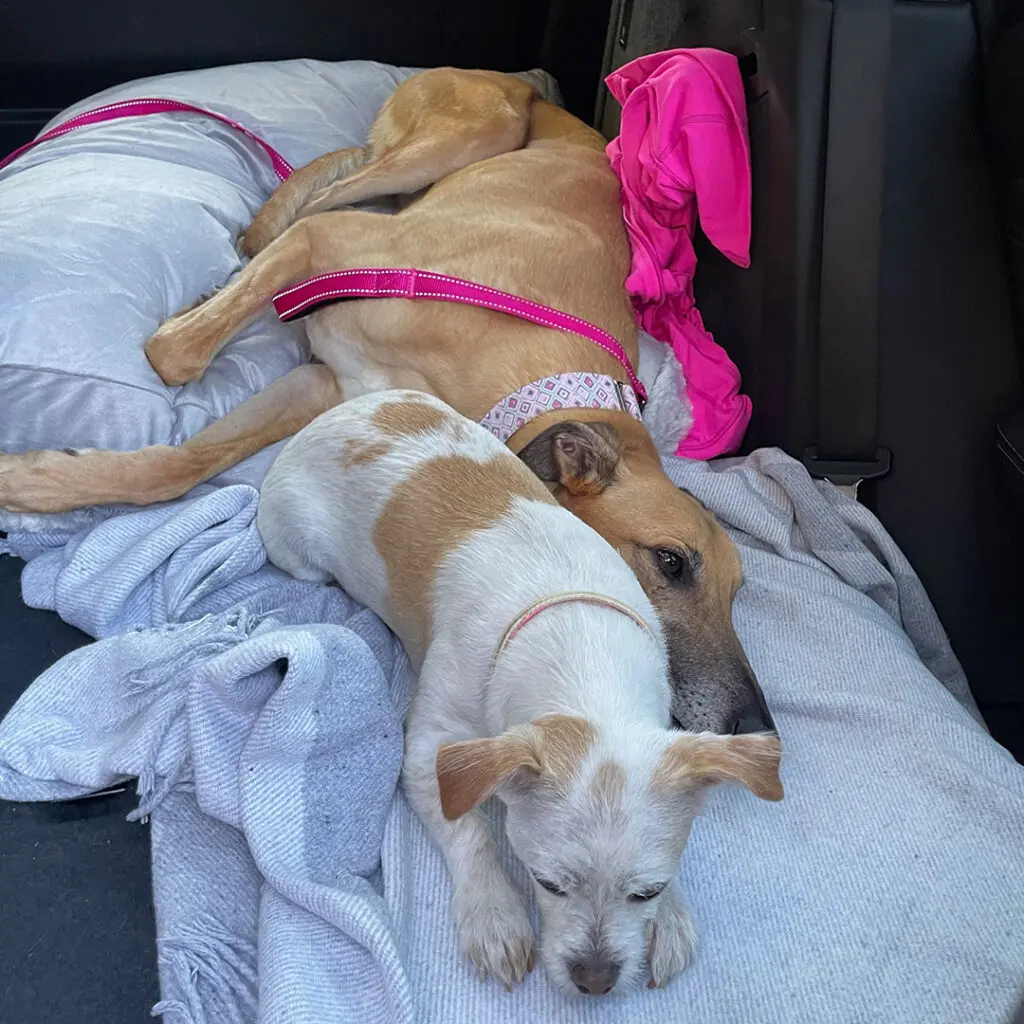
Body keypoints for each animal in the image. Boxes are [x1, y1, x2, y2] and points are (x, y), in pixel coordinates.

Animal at [256, 387, 782, 995]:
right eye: (545, 883)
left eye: (646, 891)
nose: (594, 981)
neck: (581, 651)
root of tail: (341, 411)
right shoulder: (429, 749)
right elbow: (469, 829)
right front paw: (494, 917)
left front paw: (670, 916)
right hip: (298, 552)